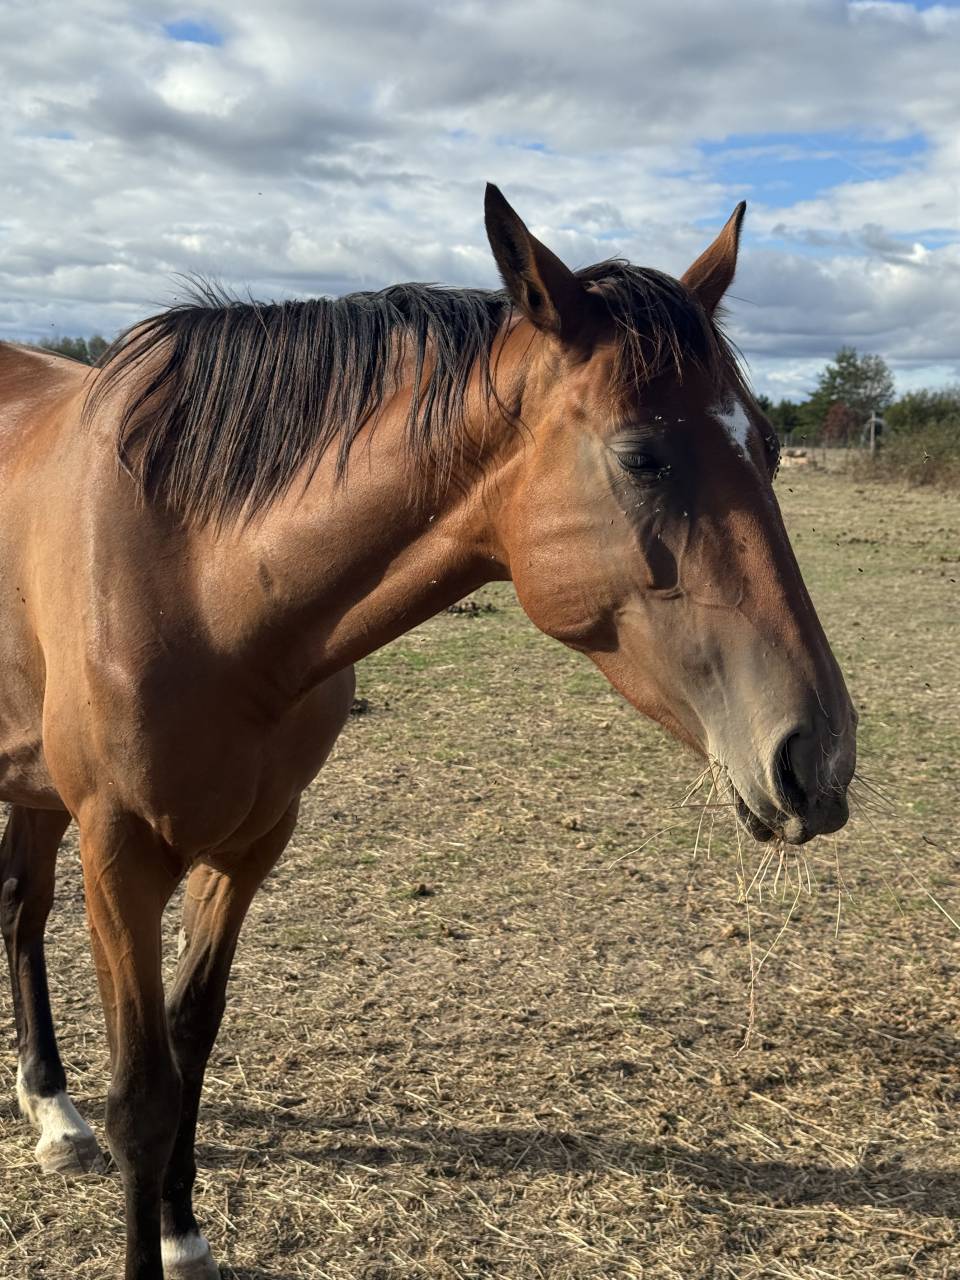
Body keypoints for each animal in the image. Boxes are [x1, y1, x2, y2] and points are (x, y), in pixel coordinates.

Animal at [0, 185, 856, 1279]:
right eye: (642, 456)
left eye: (770, 447)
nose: (817, 758)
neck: (189, 568)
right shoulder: (119, 851)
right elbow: (144, 1094)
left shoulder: (250, 842)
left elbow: (194, 1038)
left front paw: (183, 1227)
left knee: (19, 912)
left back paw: (51, 1108)